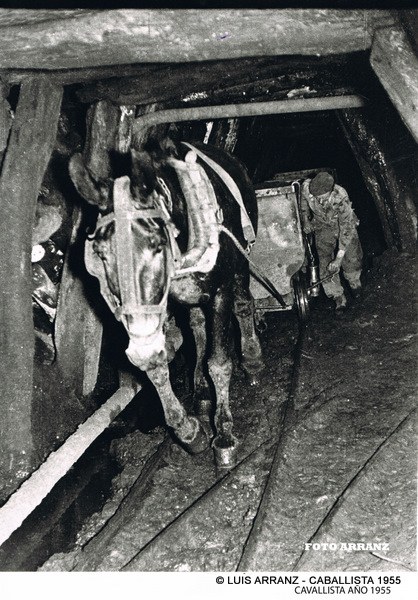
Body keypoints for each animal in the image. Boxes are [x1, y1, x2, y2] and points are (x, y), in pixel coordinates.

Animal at [69, 137, 264, 468]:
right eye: (102, 254)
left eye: (157, 245)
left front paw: (224, 434)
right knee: (197, 327)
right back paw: (201, 391)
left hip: (240, 265)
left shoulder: (220, 292)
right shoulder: (149, 312)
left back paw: (252, 362)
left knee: (243, 306)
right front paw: (188, 431)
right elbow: (156, 363)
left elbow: (219, 362)